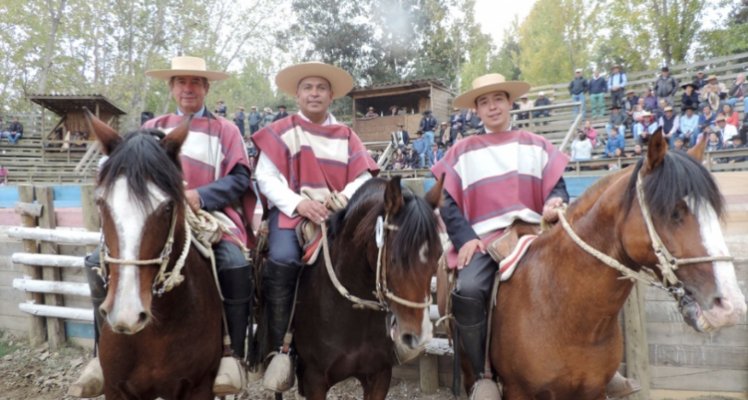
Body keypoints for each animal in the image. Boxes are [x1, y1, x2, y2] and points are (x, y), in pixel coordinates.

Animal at [88, 114, 222, 398]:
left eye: (168, 206)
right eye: (101, 203)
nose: (126, 314)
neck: (155, 334)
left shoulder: (199, 386)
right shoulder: (116, 387)